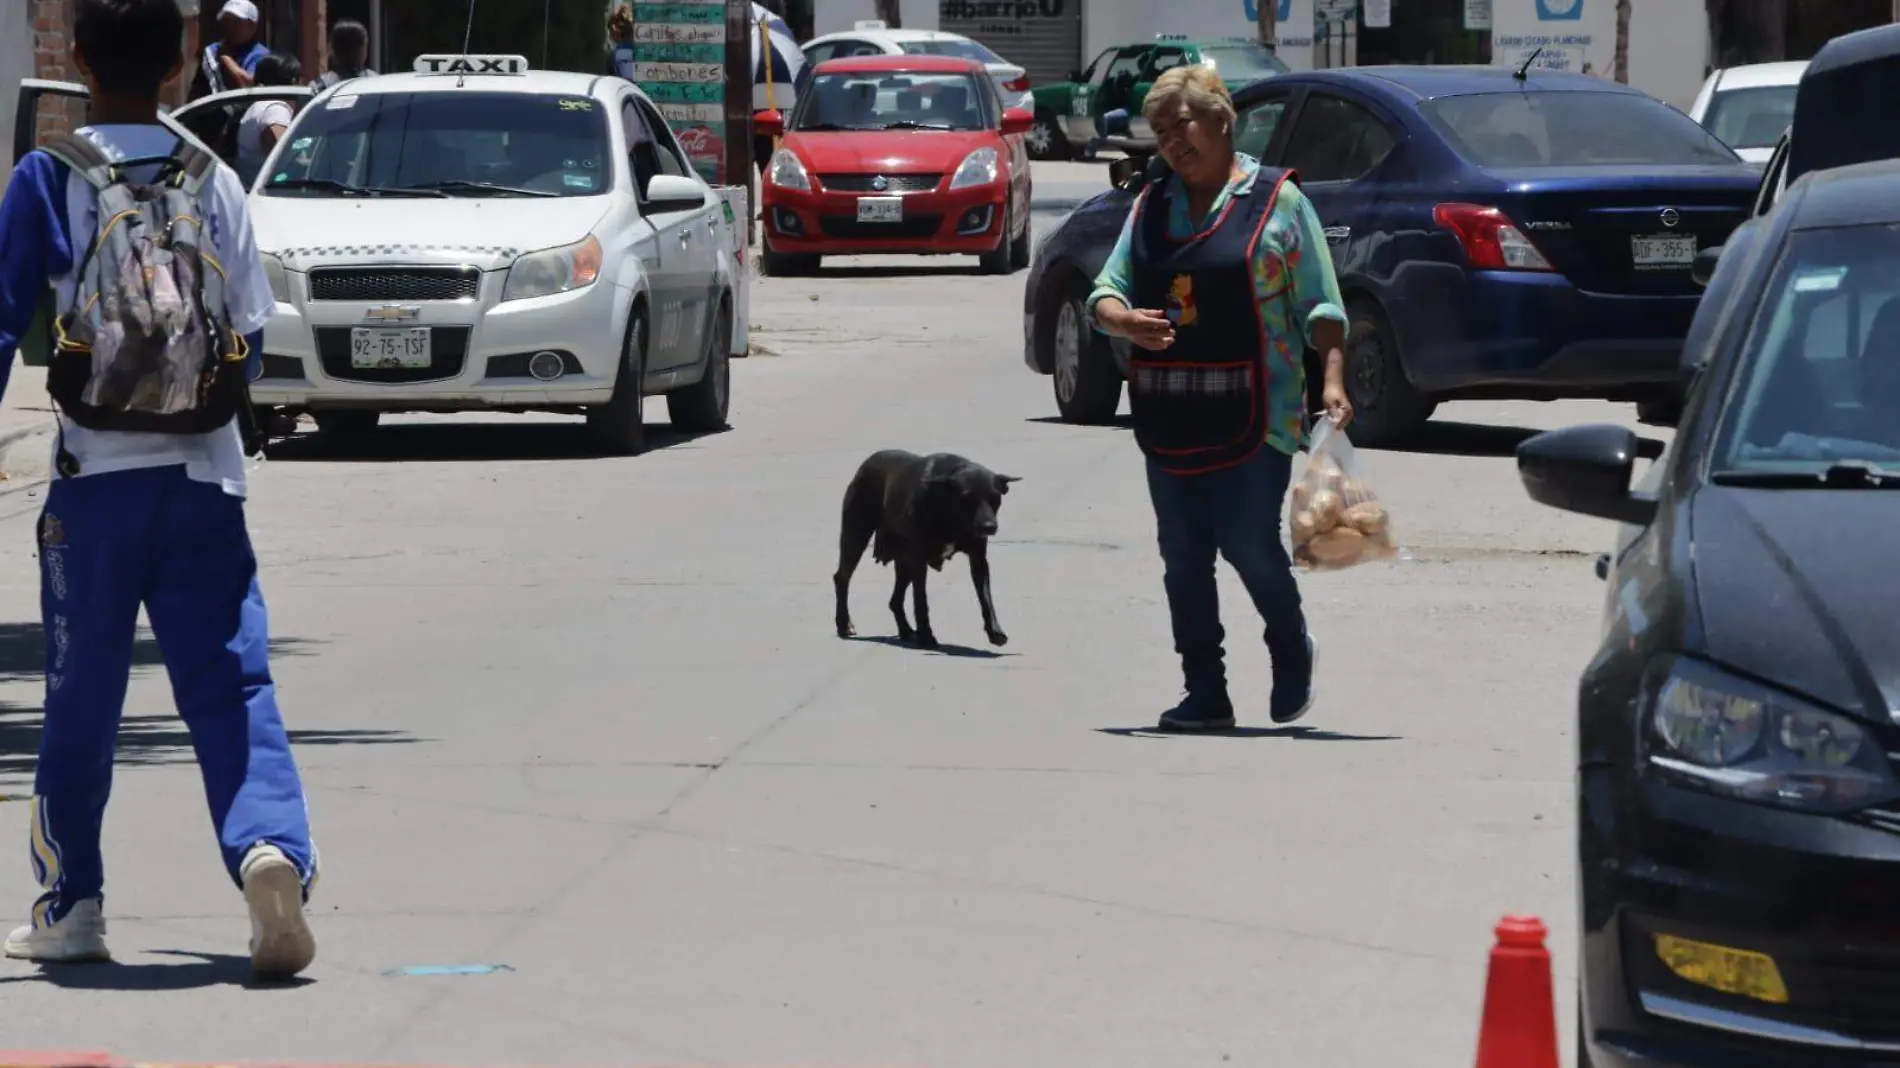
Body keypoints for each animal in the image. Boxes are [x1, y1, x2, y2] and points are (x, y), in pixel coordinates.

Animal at [832, 444, 1018, 646]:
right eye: (967, 499)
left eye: (995, 499)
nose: (988, 527)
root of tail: (864, 466)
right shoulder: (919, 560)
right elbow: (921, 600)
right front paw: (927, 635)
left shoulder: (978, 559)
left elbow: (985, 597)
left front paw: (995, 631)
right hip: (856, 537)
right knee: (842, 578)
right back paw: (844, 624)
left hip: (903, 559)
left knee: (895, 600)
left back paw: (906, 630)